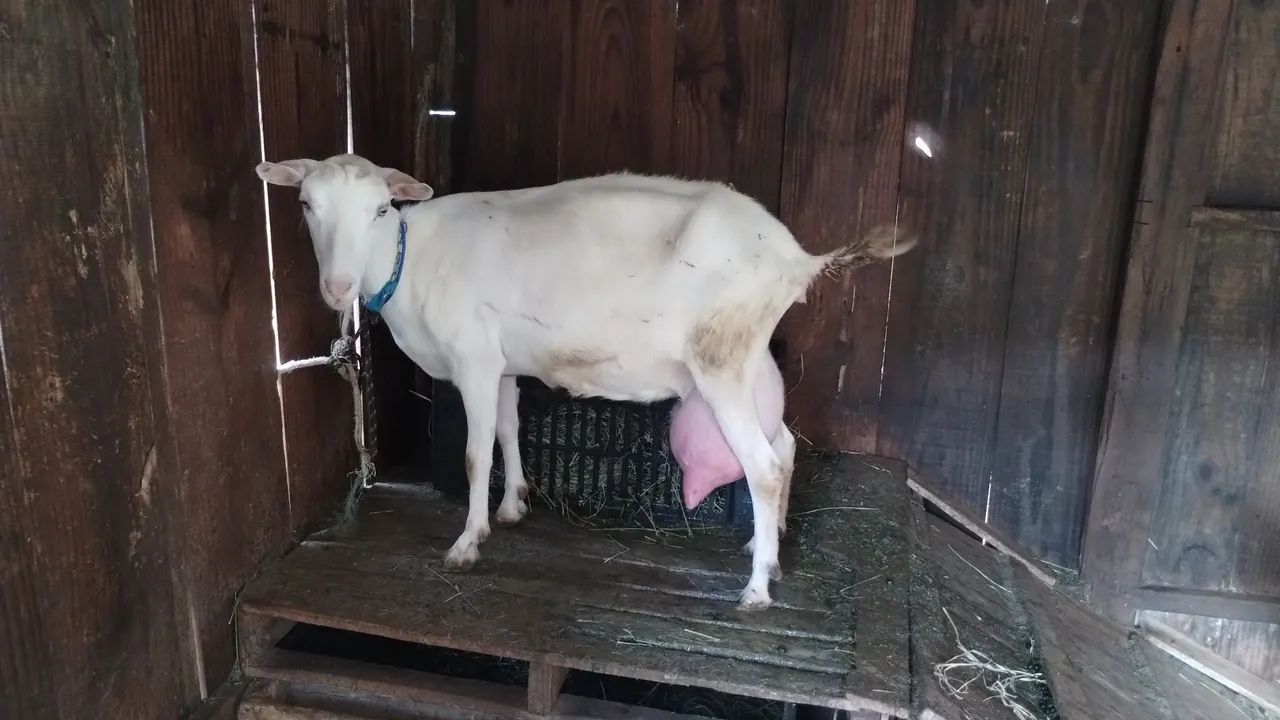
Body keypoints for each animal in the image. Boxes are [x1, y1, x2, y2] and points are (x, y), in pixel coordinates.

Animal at [255, 153, 913, 609]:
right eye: (307, 205)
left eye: (380, 209)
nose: (337, 288)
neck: (408, 262)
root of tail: (796, 257)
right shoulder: (501, 361)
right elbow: (509, 432)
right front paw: (513, 506)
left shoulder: (473, 357)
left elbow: (474, 453)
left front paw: (468, 542)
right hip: (749, 358)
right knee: (785, 445)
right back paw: (766, 548)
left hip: (720, 358)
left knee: (764, 465)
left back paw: (756, 592)